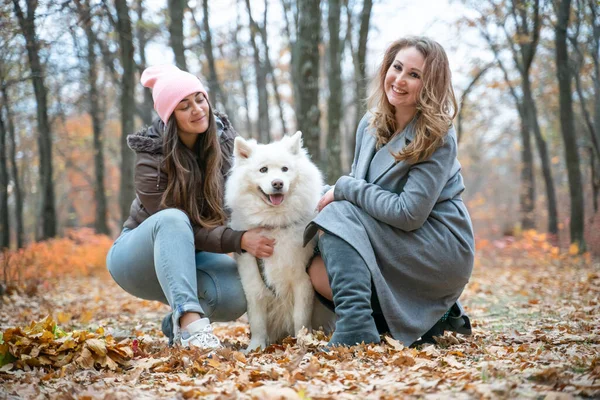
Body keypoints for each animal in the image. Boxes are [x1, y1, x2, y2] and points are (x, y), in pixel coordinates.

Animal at [226, 130, 324, 350]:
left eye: (285, 169)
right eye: (263, 170)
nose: (277, 183)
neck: (274, 225)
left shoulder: (302, 281)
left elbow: (300, 318)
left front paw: (302, 343)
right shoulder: (253, 282)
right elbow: (257, 320)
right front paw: (256, 348)